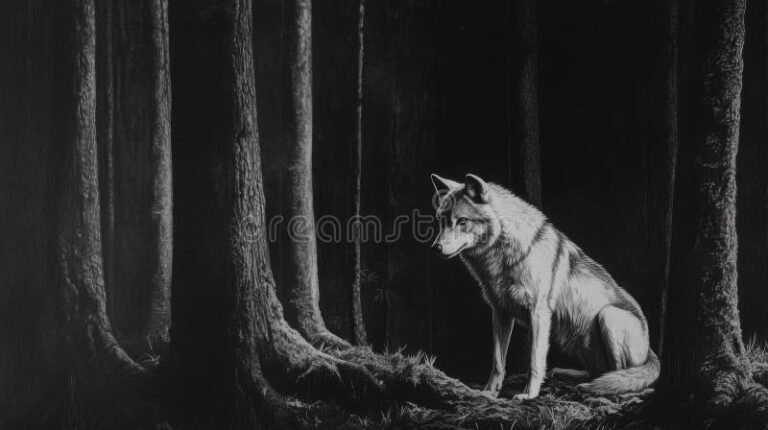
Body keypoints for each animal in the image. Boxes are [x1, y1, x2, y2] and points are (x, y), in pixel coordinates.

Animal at [430, 173, 659, 400]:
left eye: (462, 221)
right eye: (441, 221)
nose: (436, 248)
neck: (505, 257)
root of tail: (650, 350)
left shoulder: (539, 314)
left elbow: (534, 361)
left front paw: (528, 395)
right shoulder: (500, 313)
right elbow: (498, 361)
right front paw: (489, 393)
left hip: (608, 316)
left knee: (622, 375)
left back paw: (611, 392)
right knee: (598, 371)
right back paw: (573, 377)